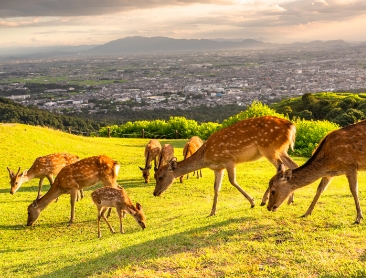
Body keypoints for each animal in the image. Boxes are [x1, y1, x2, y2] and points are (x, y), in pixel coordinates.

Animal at [153, 115, 298, 217]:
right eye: (155, 176)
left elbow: (232, 181)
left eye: (160, 177)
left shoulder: (229, 160)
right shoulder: (218, 168)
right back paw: (290, 200)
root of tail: (292, 126)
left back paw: (264, 200)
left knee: (280, 167)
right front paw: (212, 212)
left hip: (268, 147)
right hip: (281, 149)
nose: (155, 193)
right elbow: (216, 188)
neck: (205, 157)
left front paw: (252, 202)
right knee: (292, 165)